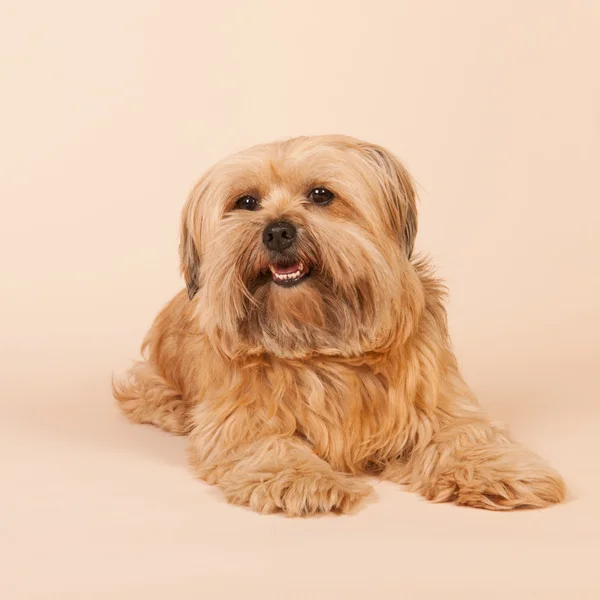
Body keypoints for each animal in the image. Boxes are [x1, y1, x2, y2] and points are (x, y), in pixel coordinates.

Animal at [113, 135, 568, 516]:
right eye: (246, 202)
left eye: (321, 195)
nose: (277, 231)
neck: (321, 347)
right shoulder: (240, 423)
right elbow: (273, 446)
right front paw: (305, 481)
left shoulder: (440, 402)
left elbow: (464, 435)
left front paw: (500, 472)